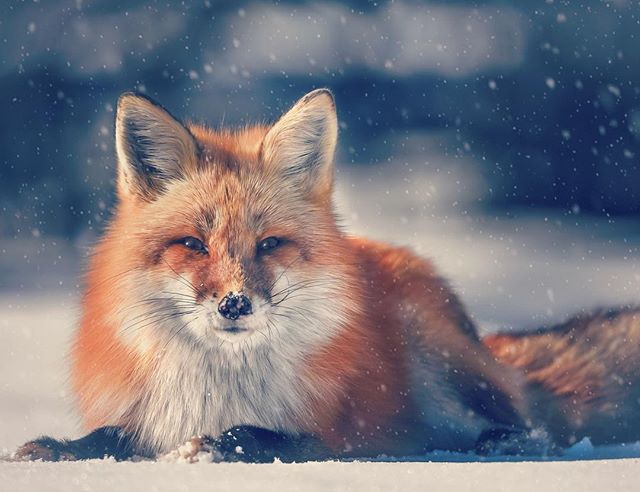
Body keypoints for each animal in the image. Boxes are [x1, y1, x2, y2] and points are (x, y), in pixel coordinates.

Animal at [15, 89, 640, 462]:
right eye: (193, 244)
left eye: (269, 244)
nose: (234, 304)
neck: (220, 388)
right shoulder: (145, 417)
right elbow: (111, 437)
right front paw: (55, 448)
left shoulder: (341, 433)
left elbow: (275, 438)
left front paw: (227, 443)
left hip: (439, 349)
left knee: (533, 427)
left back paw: (498, 442)